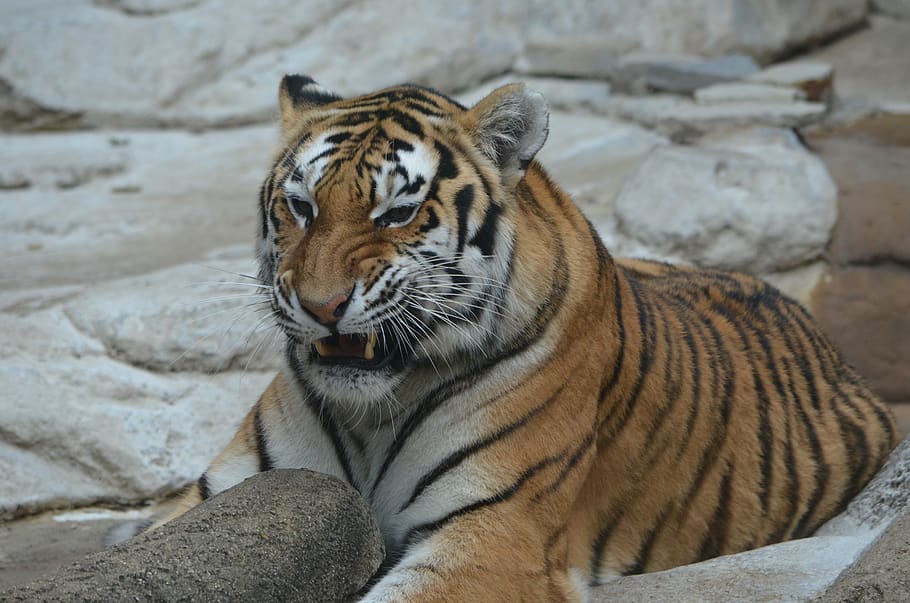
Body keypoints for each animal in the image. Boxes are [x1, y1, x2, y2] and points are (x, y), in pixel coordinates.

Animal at [150, 75, 898, 602]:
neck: (373, 414)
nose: (320, 305)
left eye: (397, 212)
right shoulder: (235, 495)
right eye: (301, 206)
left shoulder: (491, 536)